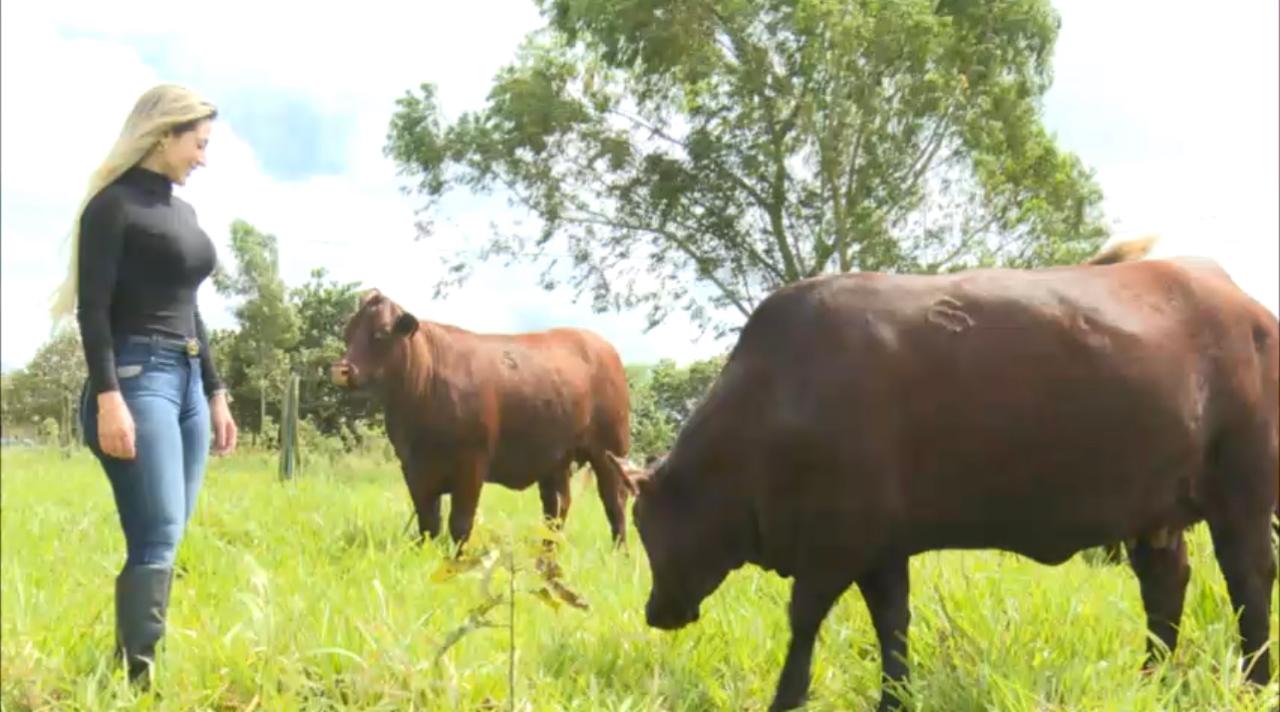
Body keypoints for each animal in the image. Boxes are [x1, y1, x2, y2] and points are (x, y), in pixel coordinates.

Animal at [327, 291, 632, 548]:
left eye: (380, 334)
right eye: (348, 334)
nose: (341, 370)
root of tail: (602, 345)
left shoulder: (471, 464)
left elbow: (460, 523)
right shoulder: (414, 468)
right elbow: (428, 523)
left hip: (609, 451)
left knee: (614, 500)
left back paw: (619, 553)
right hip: (555, 458)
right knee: (556, 507)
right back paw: (547, 551)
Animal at [614, 239, 1274, 712]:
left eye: (647, 526)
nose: (655, 612)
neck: (775, 402)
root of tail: (1244, 305)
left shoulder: (833, 547)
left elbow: (803, 623)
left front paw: (787, 699)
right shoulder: (882, 548)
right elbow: (892, 626)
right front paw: (894, 699)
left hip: (1242, 492)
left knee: (1249, 581)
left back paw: (1254, 684)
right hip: (1155, 513)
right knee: (1166, 588)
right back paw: (1152, 681)